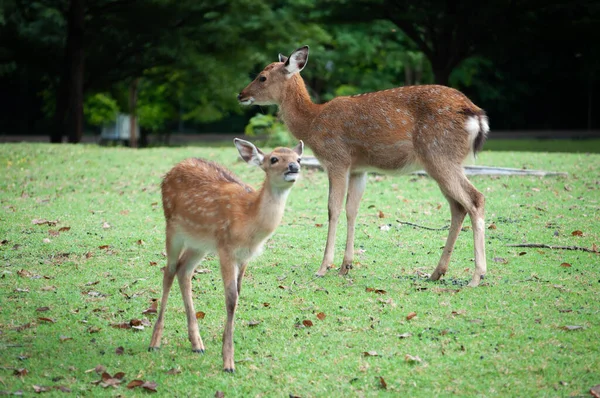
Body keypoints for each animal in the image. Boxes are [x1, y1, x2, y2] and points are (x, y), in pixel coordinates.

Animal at [148, 138, 302, 372]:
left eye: (299, 158)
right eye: (274, 159)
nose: (294, 167)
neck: (249, 222)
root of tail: (171, 171)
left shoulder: (244, 257)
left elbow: (238, 293)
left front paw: (225, 354)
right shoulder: (226, 249)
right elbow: (230, 298)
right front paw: (228, 362)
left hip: (199, 243)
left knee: (184, 270)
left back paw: (197, 344)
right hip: (172, 227)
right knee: (169, 271)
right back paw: (155, 342)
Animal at [237, 45, 490, 286]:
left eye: (262, 77)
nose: (241, 94)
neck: (312, 123)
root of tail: (477, 116)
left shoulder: (337, 159)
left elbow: (333, 208)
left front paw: (324, 267)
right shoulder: (359, 169)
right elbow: (352, 209)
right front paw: (346, 266)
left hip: (439, 154)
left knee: (475, 199)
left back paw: (477, 276)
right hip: (442, 162)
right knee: (458, 207)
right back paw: (437, 273)